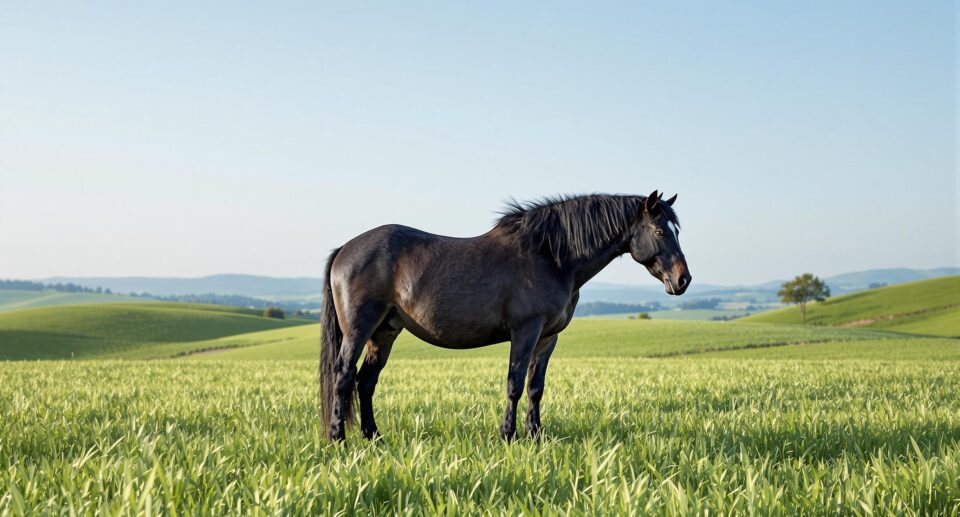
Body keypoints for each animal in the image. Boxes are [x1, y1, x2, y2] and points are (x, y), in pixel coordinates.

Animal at [319, 191, 691, 441]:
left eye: (677, 230)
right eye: (660, 232)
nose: (683, 280)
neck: (551, 257)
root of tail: (344, 249)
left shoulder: (548, 337)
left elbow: (536, 387)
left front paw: (536, 434)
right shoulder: (526, 331)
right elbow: (515, 383)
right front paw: (508, 435)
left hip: (385, 331)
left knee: (366, 382)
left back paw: (374, 438)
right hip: (358, 331)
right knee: (344, 377)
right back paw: (339, 440)